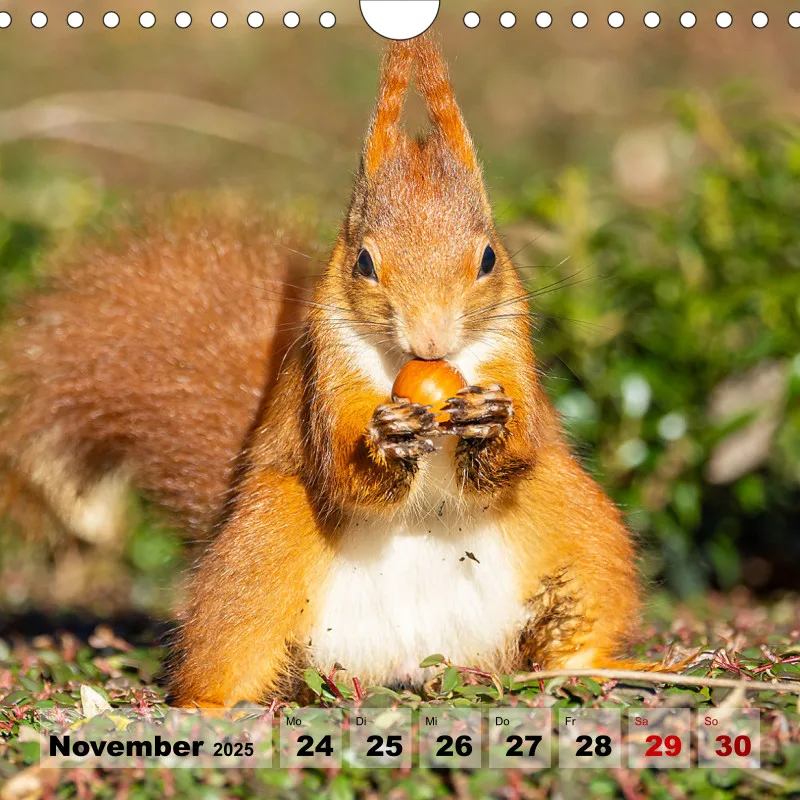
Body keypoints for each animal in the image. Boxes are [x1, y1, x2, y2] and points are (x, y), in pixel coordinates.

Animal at [1, 34, 657, 707]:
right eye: (364, 261)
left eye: (488, 258)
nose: (431, 338)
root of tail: (412, 660)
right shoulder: (327, 370)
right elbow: (343, 474)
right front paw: (387, 440)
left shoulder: (510, 350)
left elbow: (516, 450)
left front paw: (488, 420)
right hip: (265, 543)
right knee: (229, 643)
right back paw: (210, 704)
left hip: (576, 526)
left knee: (577, 621)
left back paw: (617, 665)